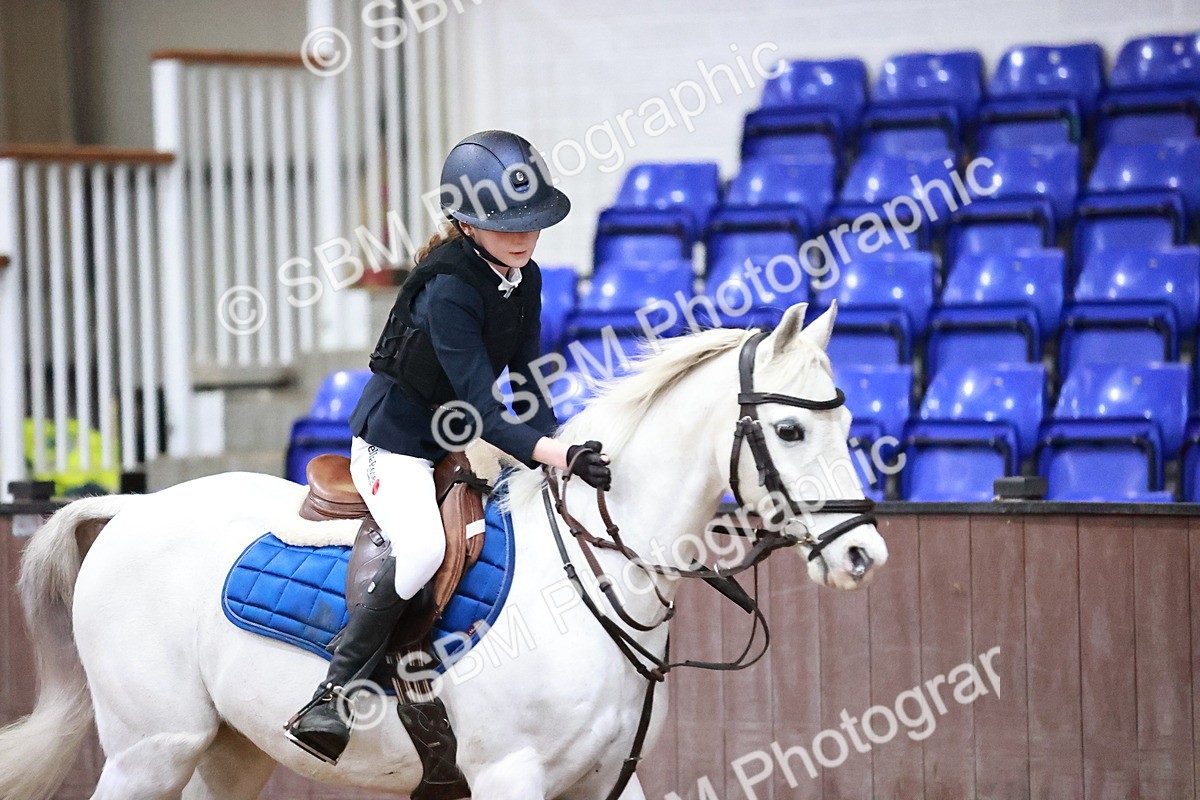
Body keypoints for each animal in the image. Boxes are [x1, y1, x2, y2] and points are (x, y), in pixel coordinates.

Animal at [0, 301, 887, 800]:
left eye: (848, 423)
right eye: (790, 429)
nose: (863, 557)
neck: (596, 578)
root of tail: (132, 507)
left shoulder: (604, 782)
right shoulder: (510, 778)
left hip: (228, 752)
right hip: (151, 750)